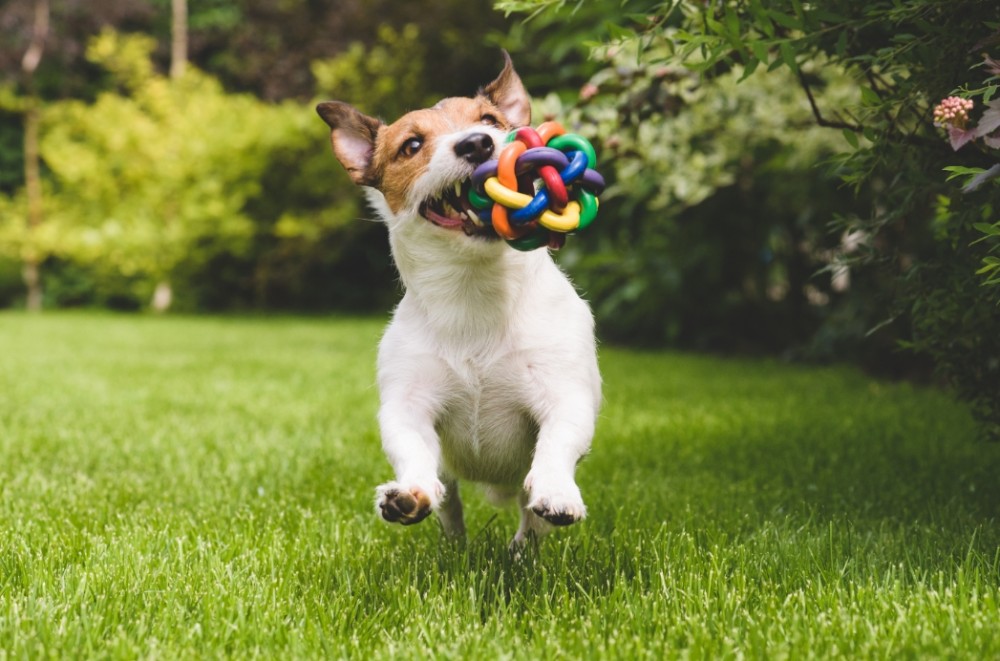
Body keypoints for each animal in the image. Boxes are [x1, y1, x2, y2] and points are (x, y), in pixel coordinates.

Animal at [318, 51, 600, 548]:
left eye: (489, 121)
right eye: (411, 145)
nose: (476, 144)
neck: (474, 290)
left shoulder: (563, 393)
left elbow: (557, 442)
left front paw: (556, 491)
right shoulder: (409, 405)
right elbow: (412, 448)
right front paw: (409, 494)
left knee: (529, 517)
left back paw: (522, 549)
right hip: (449, 477)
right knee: (448, 499)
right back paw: (451, 540)